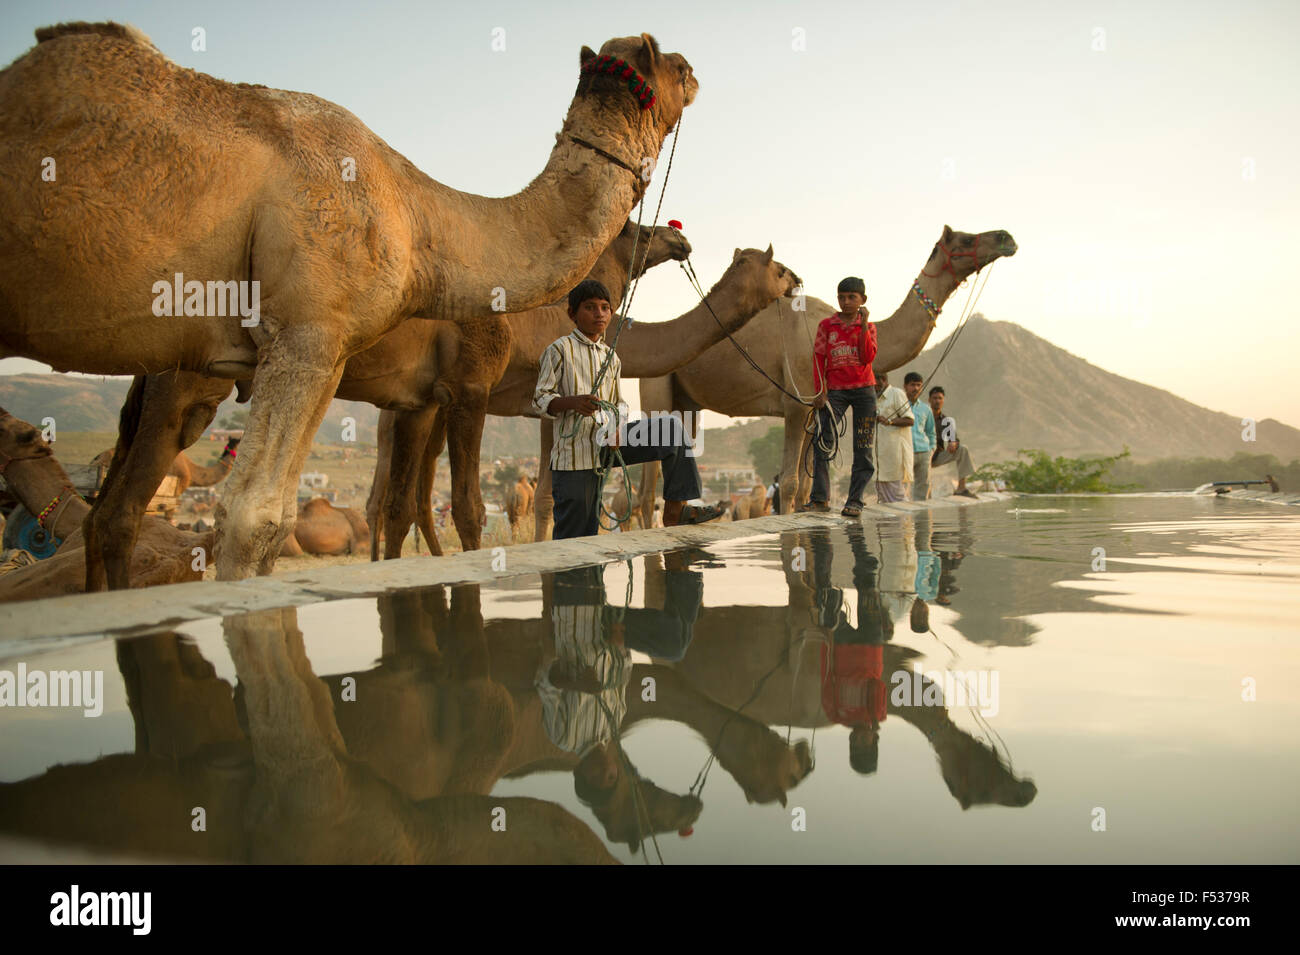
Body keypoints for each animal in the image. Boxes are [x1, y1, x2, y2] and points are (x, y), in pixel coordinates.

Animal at [634, 223, 1019, 522]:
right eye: (964, 240)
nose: (1006, 237)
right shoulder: (796, 402)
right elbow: (789, 483)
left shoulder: (816, 409)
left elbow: (805, 486)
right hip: (655, 386)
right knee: (646, 490)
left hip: (688, 400)